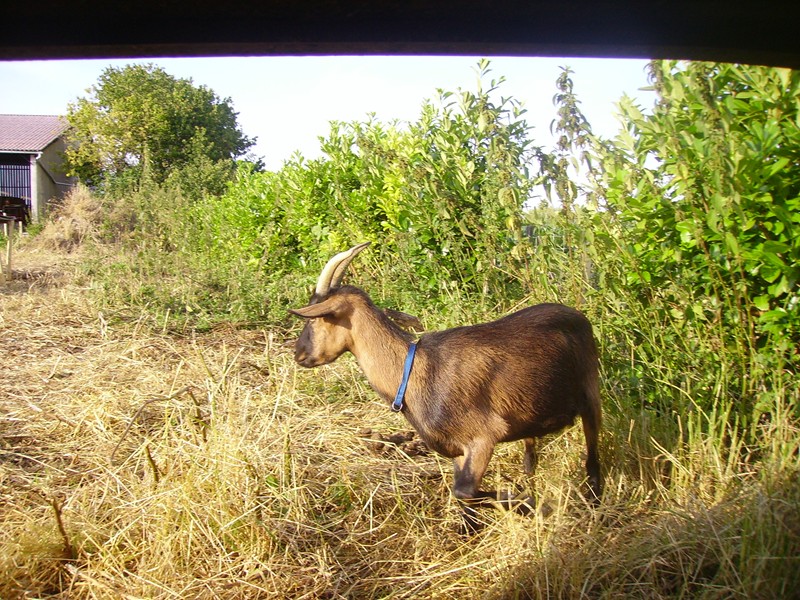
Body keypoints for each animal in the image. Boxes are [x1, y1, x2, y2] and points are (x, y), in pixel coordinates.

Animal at [290, 241, 604, 528]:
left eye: (317, 317)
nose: (299, 354)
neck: (413, 371)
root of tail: (579, 316)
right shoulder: (458, 450)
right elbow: (465, 500)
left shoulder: (483, 438)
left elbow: (464, 492)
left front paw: (528, 503)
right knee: (531, 457)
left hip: (591, 394)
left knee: (593, 455)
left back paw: (593, 500)